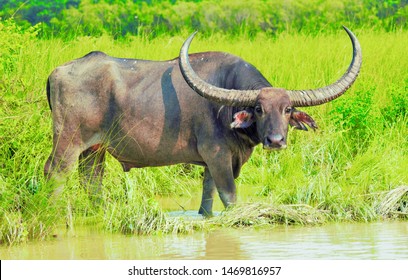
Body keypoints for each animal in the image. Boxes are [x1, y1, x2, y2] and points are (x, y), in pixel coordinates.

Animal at [46, 26, 362, 217]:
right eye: (259, 108)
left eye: (287, 109)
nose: (275, 141)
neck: (226, 108)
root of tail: (57, 72)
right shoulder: (218, 157)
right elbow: (229, 197)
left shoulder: (212, 163)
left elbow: (207, 199)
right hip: (67, 141)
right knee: (56, 173)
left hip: (94, 149)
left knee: (91, 181)